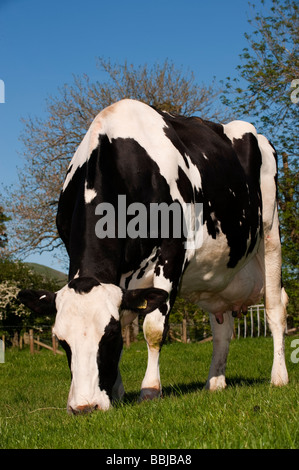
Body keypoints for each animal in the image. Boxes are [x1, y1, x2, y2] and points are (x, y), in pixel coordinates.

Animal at [18, 98, 288, 412]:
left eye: (108, 337)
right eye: (61, 341)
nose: (85, 407)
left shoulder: (173, 250)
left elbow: (153, 327)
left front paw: (149, 389)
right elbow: (127, 318)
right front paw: (116, 391)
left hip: (270, 229)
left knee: (275, 307)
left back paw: (279, 377)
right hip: (218, 278)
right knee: (222, 326)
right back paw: (215, 382)